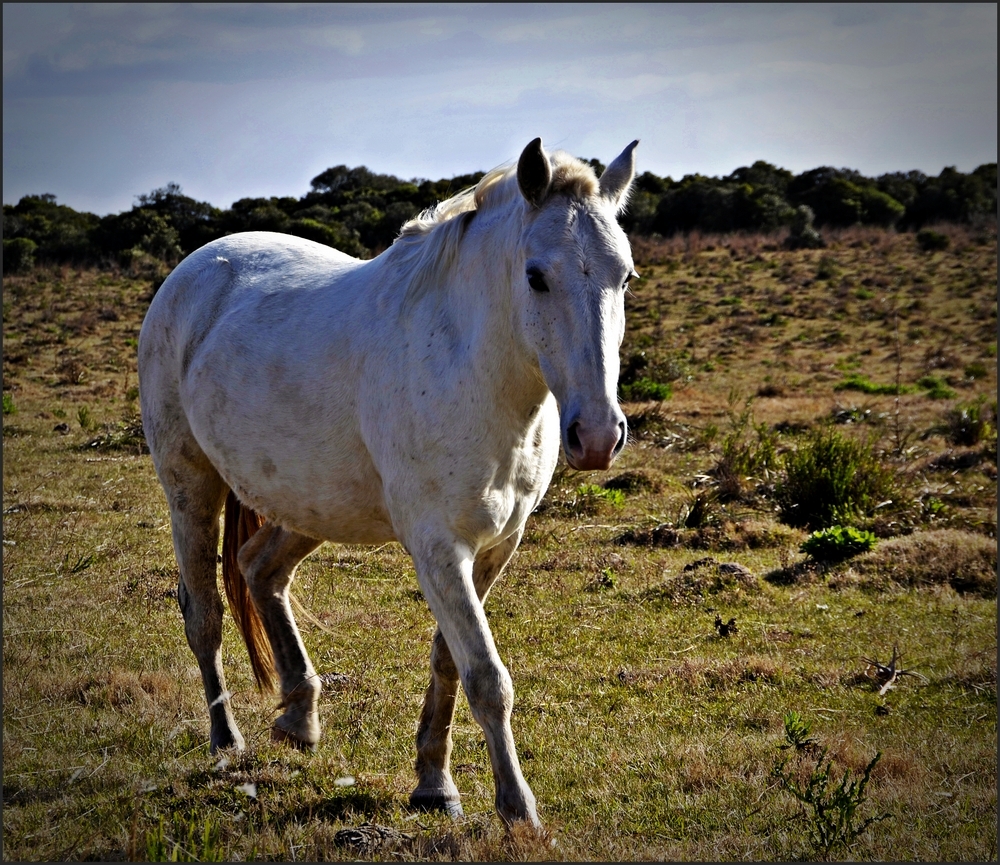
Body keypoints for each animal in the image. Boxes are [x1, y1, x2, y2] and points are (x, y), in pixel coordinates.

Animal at [137, 138, 636, 828]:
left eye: (625, 277)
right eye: (536, 276)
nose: (597, 435)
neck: (469, 366)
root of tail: (195, 269)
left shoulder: (494, 546)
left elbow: (450, 662)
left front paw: (434, 784)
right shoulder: (437, 548)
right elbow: (488, 678)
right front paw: (517, 809)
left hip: (310, 504)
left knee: (261, 570)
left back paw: (299, 717)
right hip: (190, 484)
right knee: (204, 614)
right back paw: (226, 742)